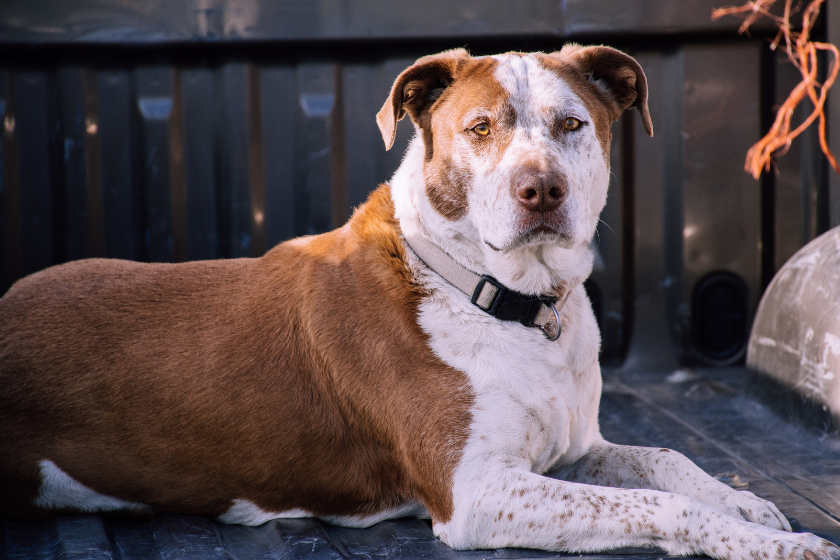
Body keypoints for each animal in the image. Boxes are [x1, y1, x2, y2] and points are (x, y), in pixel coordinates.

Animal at [1, 44, 840, 560]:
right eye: (480, 127)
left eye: (572, 124)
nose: (540, 189)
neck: (507, 299)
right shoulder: (479, 492)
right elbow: (661, 507)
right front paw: (775, 544)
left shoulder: (572, 448)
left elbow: (667, 459)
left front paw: (745, 505)